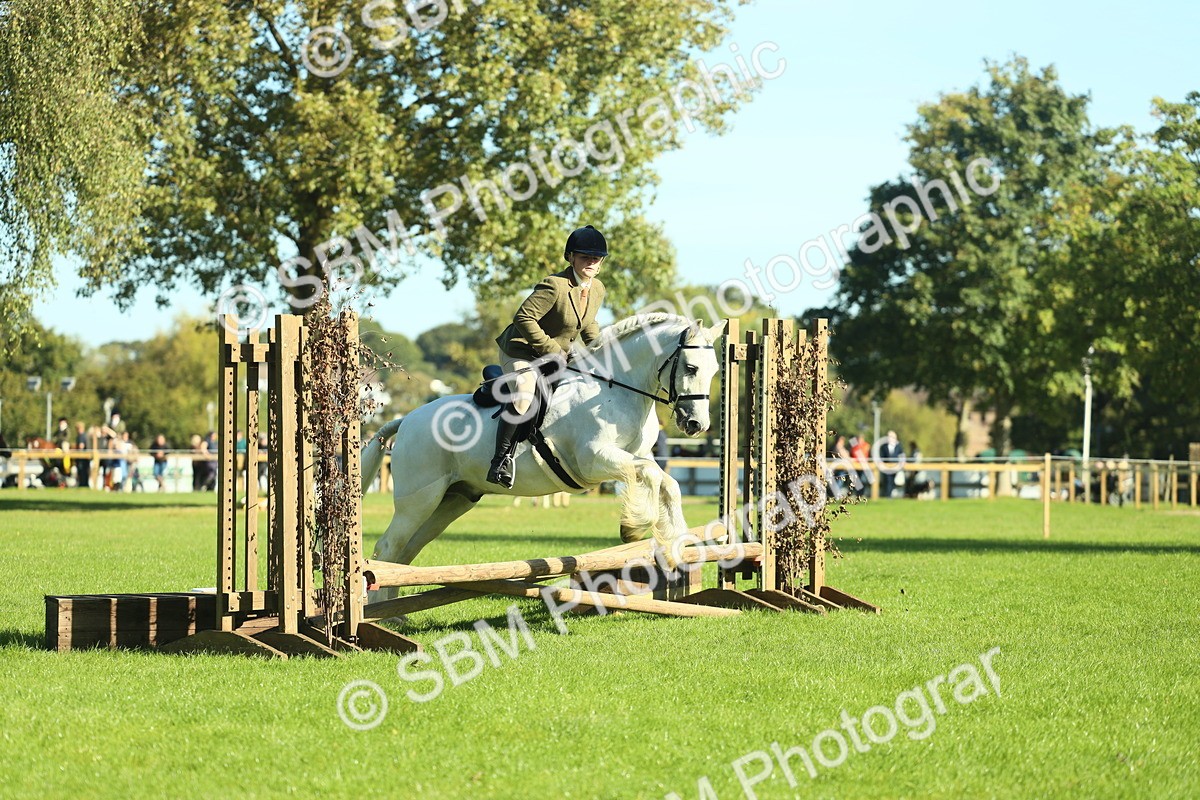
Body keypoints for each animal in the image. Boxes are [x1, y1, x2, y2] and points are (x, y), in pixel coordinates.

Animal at [359, 313, 724, 594]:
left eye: (715, 371)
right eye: (691, 367)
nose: (696, 424)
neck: (616, 390)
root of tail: (407, 419)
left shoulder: (640, 455)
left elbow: (667, 483)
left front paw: (676, 541)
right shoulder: (593, 461)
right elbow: (647, 477)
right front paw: (633, 527)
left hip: (452, 500)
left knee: (405, 551)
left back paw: (396, 614)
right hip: (419, 499)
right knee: (388, 547)